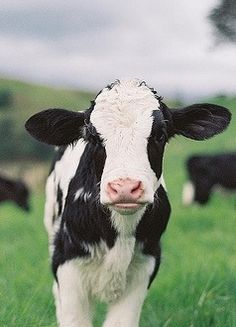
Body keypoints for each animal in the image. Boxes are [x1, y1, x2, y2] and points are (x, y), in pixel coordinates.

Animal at [25, 79, 230, 327]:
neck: (120, 235)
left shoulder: (146, 263)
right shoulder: (67, 262)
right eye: (92, 136)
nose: (125, 187)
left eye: (160, 134)